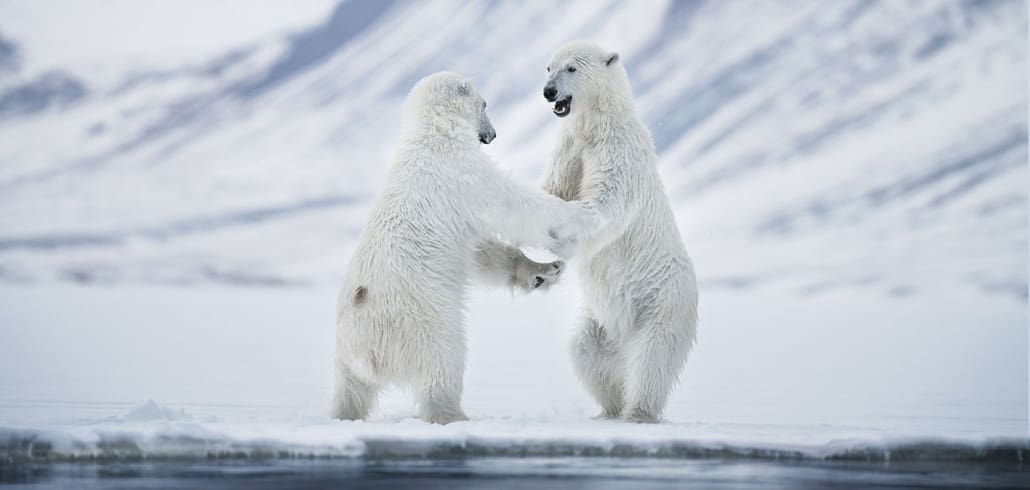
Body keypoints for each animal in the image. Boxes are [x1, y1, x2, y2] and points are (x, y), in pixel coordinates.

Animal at [335, 71, 597, 422]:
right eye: (484, 103)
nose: (492, 134)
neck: (433, 133)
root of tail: (365, 350)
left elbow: (480, 252)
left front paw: (544, 272)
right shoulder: (464, 173)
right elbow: (513, 206)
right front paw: (581, 215)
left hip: (346, 357)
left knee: (350, 393)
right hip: (422, 324)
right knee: (443, 364)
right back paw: (453, 414)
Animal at [490, 42, 700, 422]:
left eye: (571, 68)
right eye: (548, 67)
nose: (548, 92)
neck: (599, 125)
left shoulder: (618, 152)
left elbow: (606, 205)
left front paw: (560, 230)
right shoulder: (570, 147)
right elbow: (556, 185)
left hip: (661, 301)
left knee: (653, 356)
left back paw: (637, 411)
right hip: (600, 319)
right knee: (586, 351)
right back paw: (609, 408)